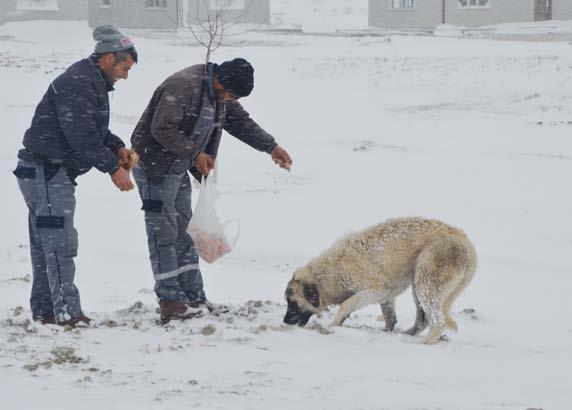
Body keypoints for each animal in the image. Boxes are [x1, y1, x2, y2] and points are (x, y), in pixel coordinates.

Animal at [284, 216, 476, 344]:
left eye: (293, 303)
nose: (285, 321)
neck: (328, 274)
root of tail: (463, 239)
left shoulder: (376, 288)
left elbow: (346, 304)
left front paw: (335, 323)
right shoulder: (387, 295)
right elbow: (390, 317)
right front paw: (386, 331)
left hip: (427, 281)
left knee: (438, 323)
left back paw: (423, 343)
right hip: (419, 286)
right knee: (423, 320)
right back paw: (408, 334)